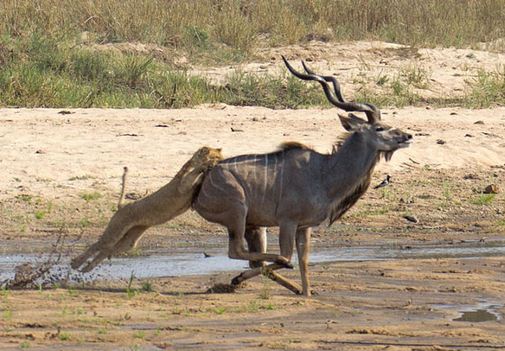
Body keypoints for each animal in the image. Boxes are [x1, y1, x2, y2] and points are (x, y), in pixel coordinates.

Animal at [71, 146, 222, 272]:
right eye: (217, 157)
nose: (221, 163)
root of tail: (122, 206)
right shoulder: (182, 186)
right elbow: (194, 173)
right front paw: (206, 166)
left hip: (130, 241)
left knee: (106, 251)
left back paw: (86, 269)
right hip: (116, 230)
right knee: (97, 245)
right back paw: (75, 264)